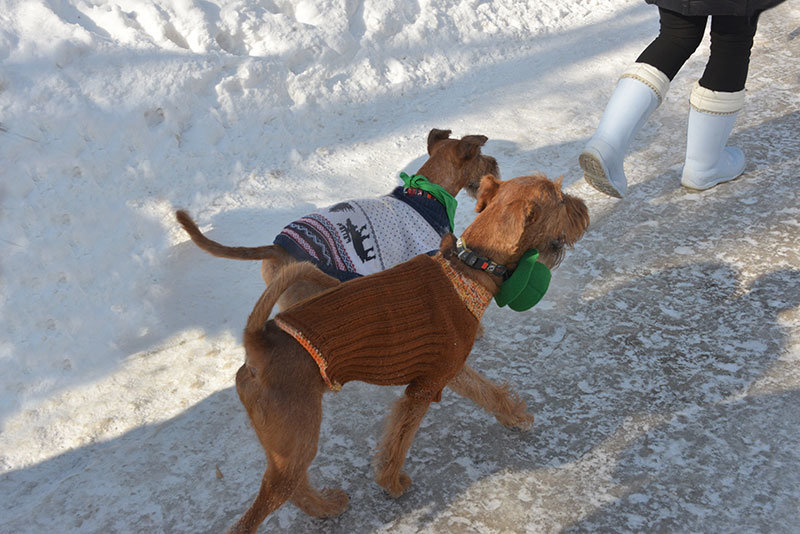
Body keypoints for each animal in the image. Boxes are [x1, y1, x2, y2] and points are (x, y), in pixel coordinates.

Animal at [228, 174, 592, 532]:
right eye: (561, 198)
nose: (585, 209)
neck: (468, 271)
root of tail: (258, 343)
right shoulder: (423, 389)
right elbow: (398, 442)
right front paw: (391, 483)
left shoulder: (448, 369)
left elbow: (488, 392)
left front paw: (515, 416)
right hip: (296, 440)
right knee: (262, 506)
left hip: (289, 447)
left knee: (294, 489)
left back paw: (325, 507)